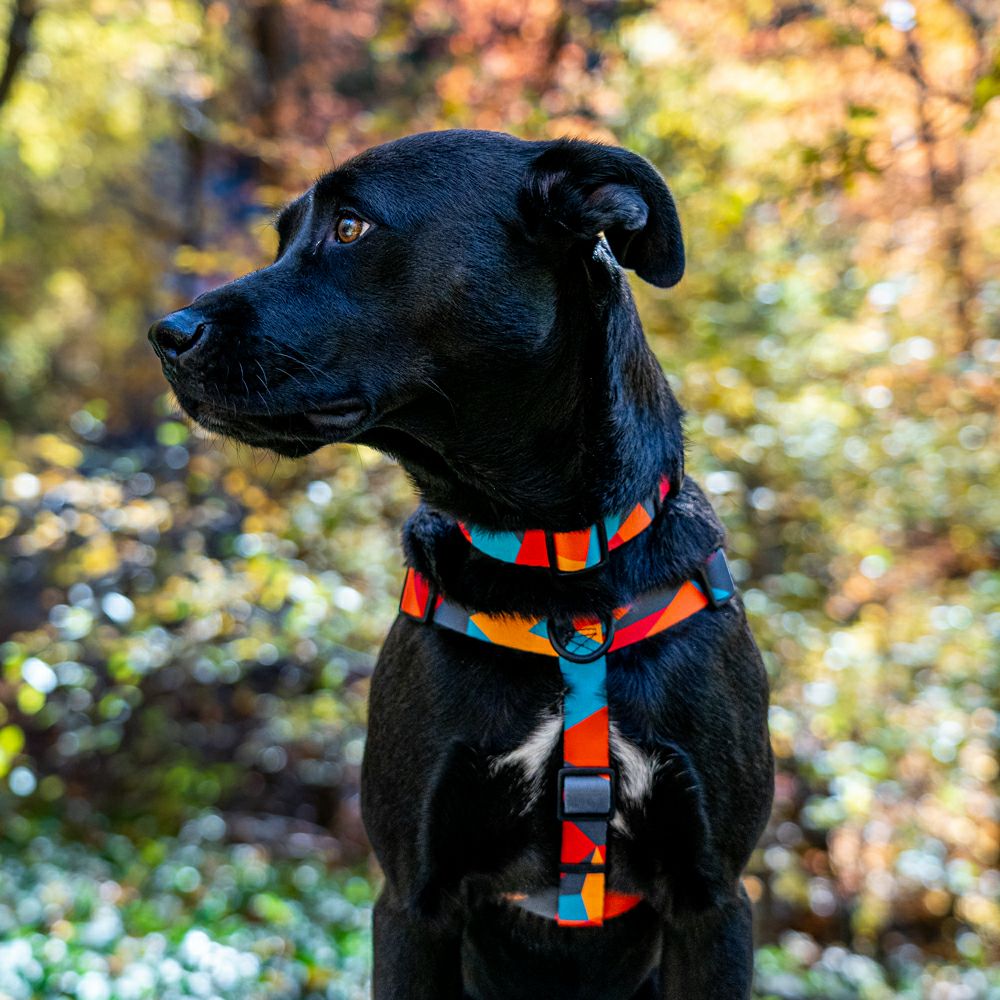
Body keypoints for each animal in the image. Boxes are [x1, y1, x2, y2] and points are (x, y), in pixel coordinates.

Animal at [150, 129, 772, 996]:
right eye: (282, 238)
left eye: (350, 227)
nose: (166, 335)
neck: (557, 571)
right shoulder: (414, 897)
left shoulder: (714, 898)